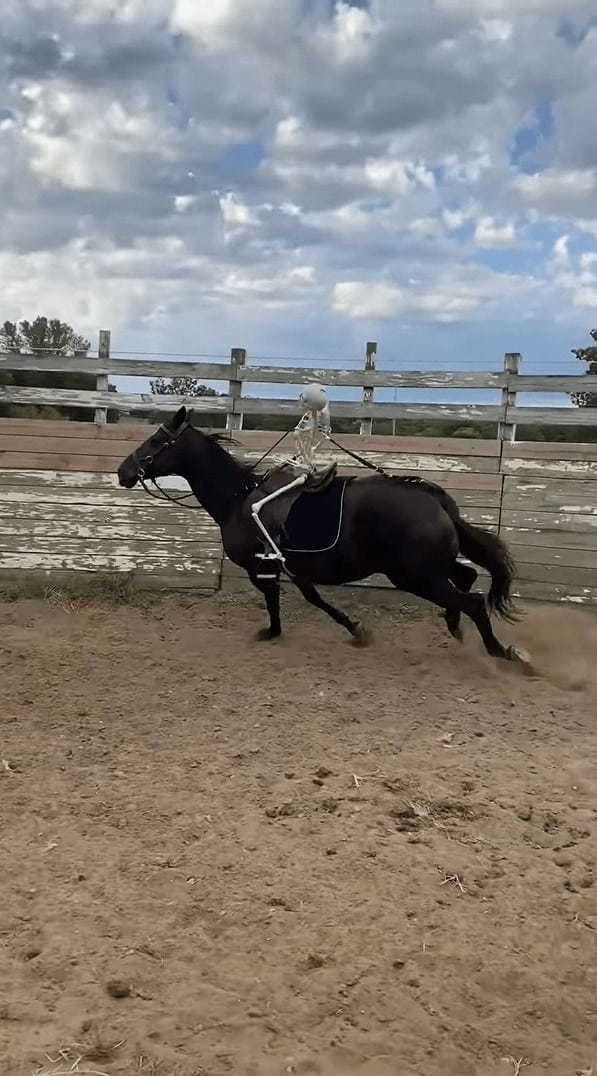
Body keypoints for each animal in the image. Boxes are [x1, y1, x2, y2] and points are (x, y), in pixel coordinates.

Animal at [117, 406, 527, 662]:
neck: (239, 499)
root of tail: (432, 497)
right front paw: (350, 629)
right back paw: (455, 627)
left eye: (155, 442)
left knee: (473, 601)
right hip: (430, 568)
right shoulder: (291, 568)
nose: (123, 471)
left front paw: (289, 630)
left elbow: (286, 600)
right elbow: (309, 598)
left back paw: (504, 654)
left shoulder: (261, 568)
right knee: (467, 578)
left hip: (416, 575)